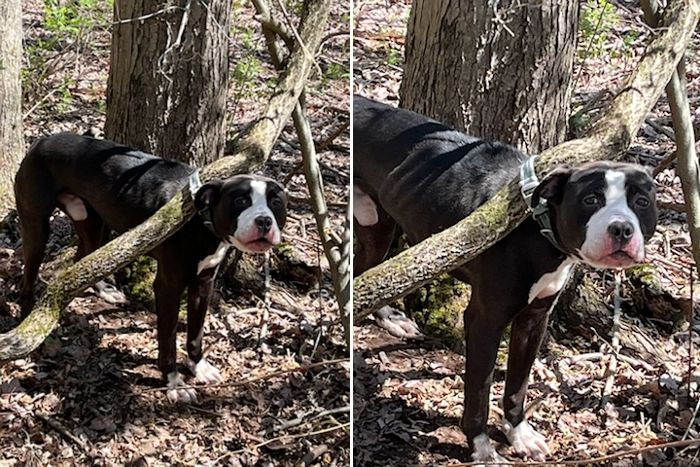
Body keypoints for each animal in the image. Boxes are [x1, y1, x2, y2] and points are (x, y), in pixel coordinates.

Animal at [13, 133, 288, 404]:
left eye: (276, 202)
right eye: (240, 200)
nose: (264, 221)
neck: (201, 222)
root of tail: (41, 141)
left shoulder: (203, 284)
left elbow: (196, 333)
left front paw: (198, 366)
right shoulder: (168, 287)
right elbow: (168, 341)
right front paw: (174, 383)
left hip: (93, 225)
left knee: (83, 260)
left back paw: (103, 290)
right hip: (37, 227)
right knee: (29, 279)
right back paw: (29, 326)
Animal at [352, 96, 660, 464]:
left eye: (641, 202)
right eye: (591, 199)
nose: (622, 228)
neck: (537, 228)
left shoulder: (534, 319)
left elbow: (518, 384)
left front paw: (519, 433)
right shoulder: (485, 320)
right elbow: (478, 392)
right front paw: (481, 447)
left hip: (376, 223)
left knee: (367, 271)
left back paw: (387, 318)